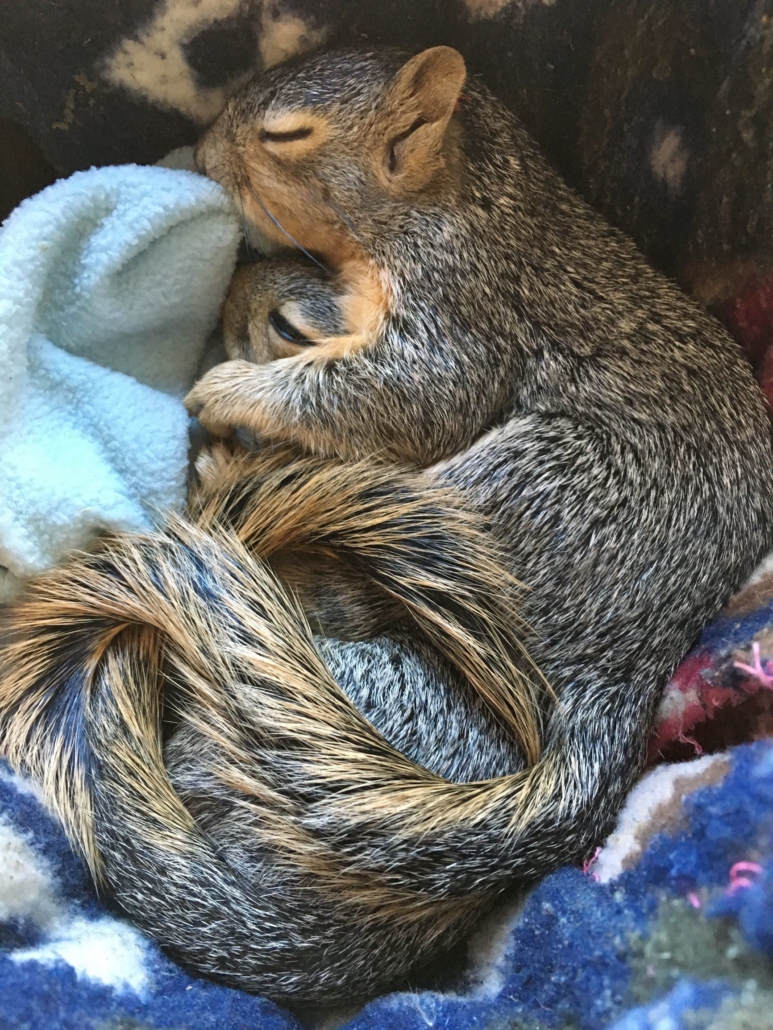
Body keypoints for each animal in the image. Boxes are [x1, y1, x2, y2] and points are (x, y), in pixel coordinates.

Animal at [1, 44, 773, 1001]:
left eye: (285, 134)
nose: (198, 151)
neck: (472, 189)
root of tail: (612, 676)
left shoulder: (460, 305)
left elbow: (401, 393)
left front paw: (226, 394)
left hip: (520, 492)